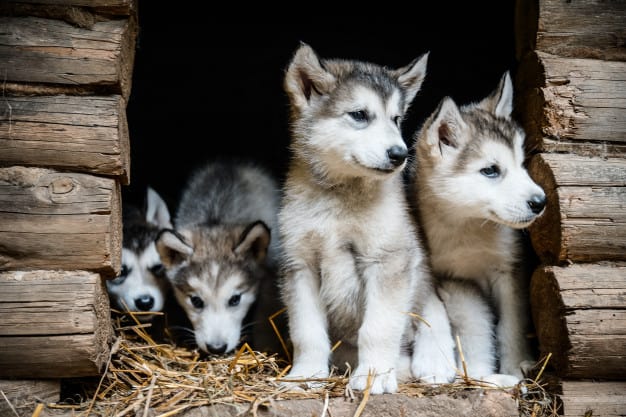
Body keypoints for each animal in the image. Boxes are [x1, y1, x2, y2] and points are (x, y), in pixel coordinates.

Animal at [278, 42, 454, 394]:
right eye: (359, 115)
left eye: (396, 119)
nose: (400, 154)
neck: (339, 198)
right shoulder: (300, 266)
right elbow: (306, 332)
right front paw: (306, 374)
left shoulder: (388, 261)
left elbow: (378, 328)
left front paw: (375, 375)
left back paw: (430, 366)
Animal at [408, 70, 544, 380]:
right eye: (490, 170)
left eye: (522, 164)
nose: (540, 202)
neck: (464, 227)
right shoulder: (426, 269)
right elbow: (432, 308)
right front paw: (434, 361)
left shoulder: (510, 270)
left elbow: (512, 324)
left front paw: (516, 363)